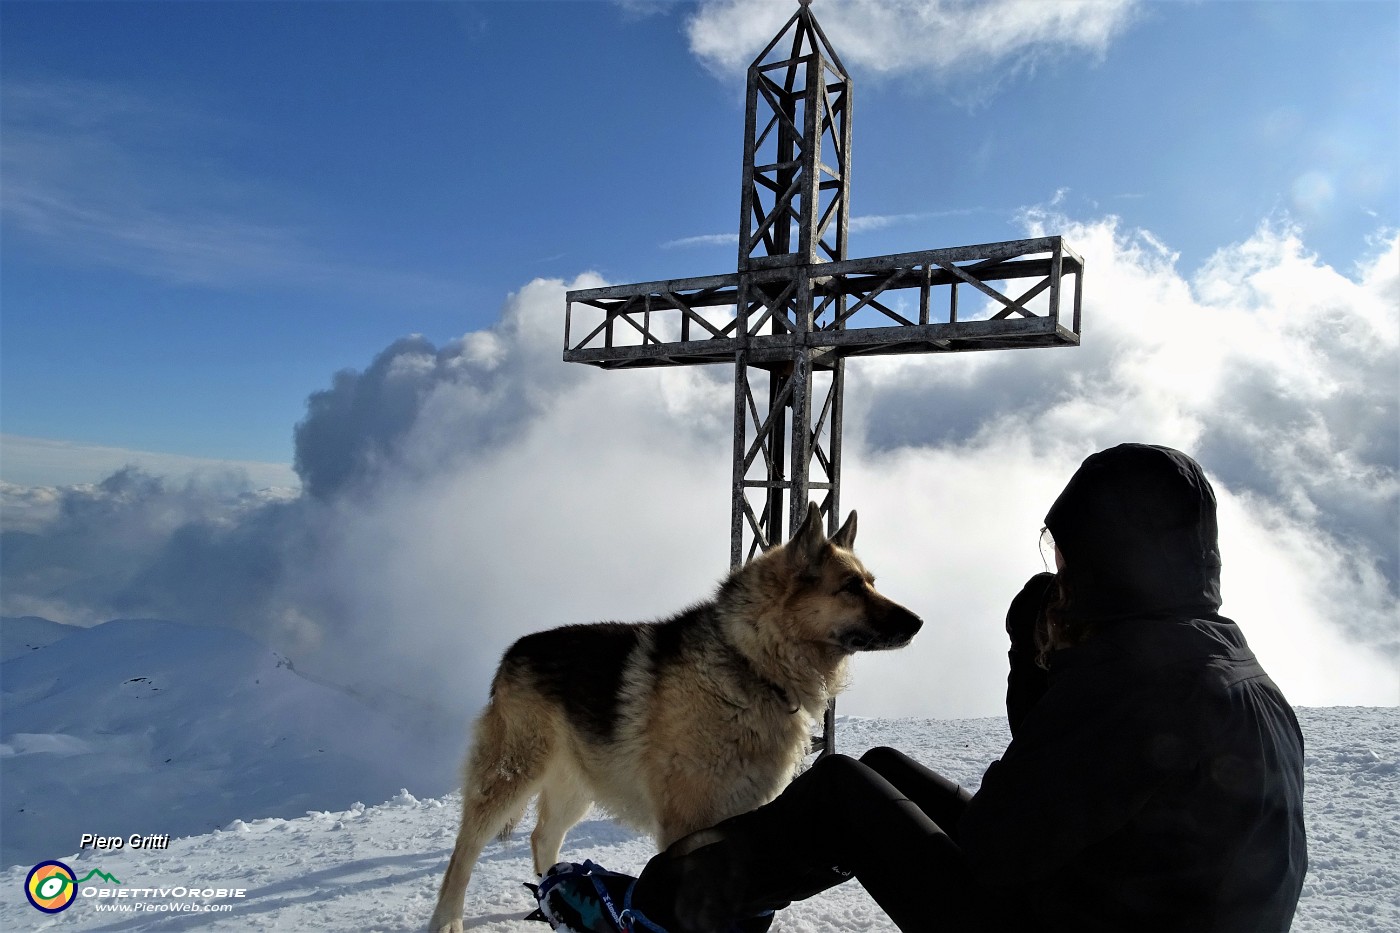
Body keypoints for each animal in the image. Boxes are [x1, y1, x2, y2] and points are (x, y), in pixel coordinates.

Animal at [431, 504, 924, 924]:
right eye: (851, 588)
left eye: (872, 582)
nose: (918, 623)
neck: (752, 664)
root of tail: (512, 652)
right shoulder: (684, 826)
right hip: (512, 776)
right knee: (464, 850)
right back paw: (449, 920)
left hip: (577, 786)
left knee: (542, 838)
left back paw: (556, 898)